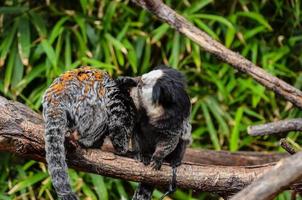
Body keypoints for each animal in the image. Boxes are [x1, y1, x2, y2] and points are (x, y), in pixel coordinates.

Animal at [42, 66, 137, 199]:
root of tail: (57, 98)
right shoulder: (115, 97)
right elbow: (116, 124)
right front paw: (123, 150)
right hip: (86, 107)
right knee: (101, 113)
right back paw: (89, 141)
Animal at [120, 65, 191, 200]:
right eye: (140, 82)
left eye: (142, 86)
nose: (138, 83)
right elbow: (135, 129)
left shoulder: (174, 119)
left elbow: (170, 139)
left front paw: (158, 157)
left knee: (184, 137)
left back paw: (175, 161)